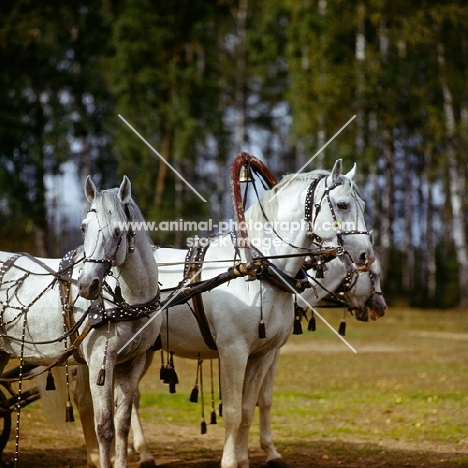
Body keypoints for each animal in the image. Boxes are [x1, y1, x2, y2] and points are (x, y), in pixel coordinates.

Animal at [0, 176, 161, 468]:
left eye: (119, 231)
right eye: (84, 227)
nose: (87, 285)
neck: (128, 302)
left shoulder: (133, 361)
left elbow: (122, 423)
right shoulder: (99, 361)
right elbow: (104, 427)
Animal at [74, 160, 372, 468]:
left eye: (363, 203)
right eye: (342, 204)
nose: (366, 255)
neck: (258, 270)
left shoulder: (263, 354)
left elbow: (250, 407)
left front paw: (245, 458)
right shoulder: (234, 351)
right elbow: (233, 411)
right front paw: (235, 460)